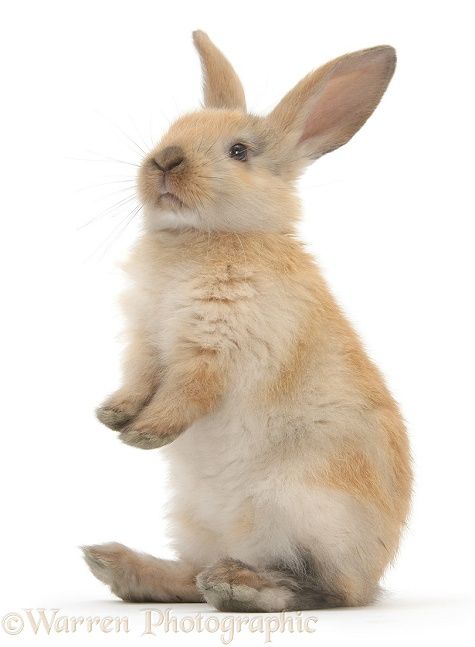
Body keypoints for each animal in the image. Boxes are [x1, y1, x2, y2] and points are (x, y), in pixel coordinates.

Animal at [82, 30, 412, 616]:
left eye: (239, 151)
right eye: (175, 127)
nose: (164, 160)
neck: (202, 238)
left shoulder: (216, 347)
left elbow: (186, 393)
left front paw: (143, 436)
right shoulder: (146, 340)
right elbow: (139, 379)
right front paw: (112, 415)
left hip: (303, 509)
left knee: (323, 588)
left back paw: (239, 584)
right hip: (196, 520)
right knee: (189, 577)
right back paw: (118, 565)